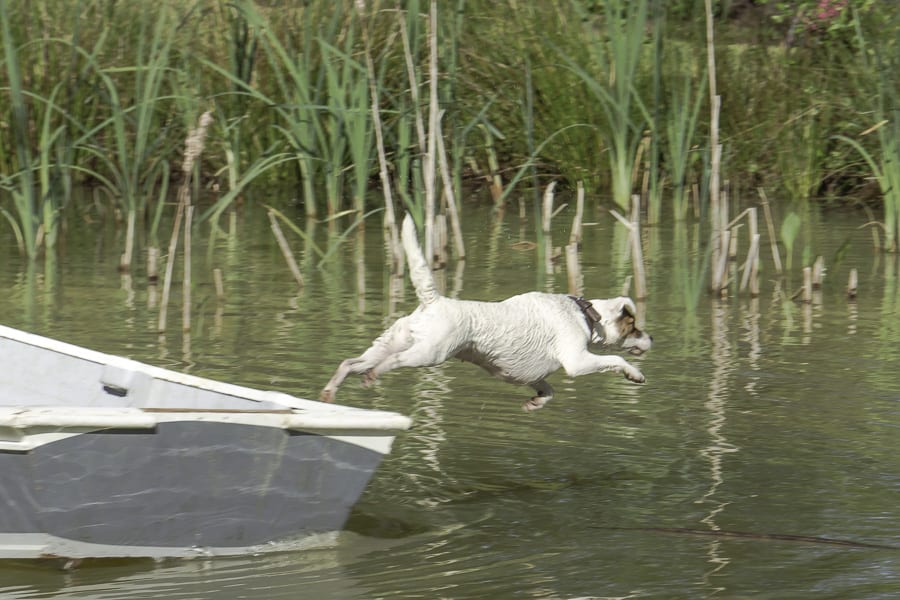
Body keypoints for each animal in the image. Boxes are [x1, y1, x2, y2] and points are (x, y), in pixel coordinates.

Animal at [320, 213, 652, 410]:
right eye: (634, 327)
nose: (652, 340)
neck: (585, 314)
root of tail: (433, 301)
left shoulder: (530, 375)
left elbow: (548, 391)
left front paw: (536, 403)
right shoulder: (577, 361)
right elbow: (616, 360)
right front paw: (635, 374)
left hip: (389, 342)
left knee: (350, 363)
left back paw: (331, 390)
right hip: (428, 354)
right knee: (391, 363)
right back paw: (372, 376)